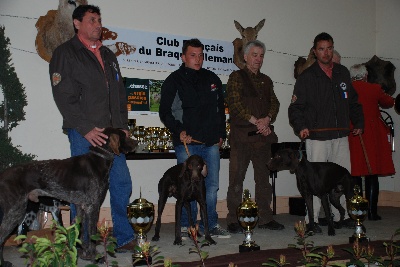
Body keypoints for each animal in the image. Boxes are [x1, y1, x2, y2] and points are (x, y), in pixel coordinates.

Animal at [0, 127, 138, 266]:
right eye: (125, 135)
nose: (136, 143)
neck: (99, 159)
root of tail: (3, 174)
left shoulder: (81, 206)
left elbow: (81, 232)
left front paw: (84, 253)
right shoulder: (93, 206)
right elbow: (92, 236)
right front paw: (96, 257)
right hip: (15, 211)